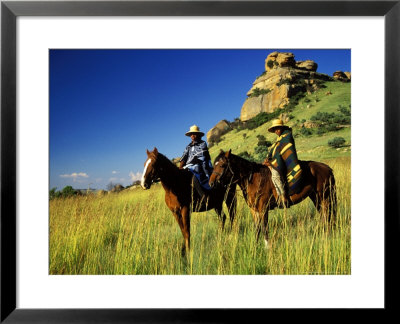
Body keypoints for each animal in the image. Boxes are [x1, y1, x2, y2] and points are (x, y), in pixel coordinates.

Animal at [209, 151, 338, 247]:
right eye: (214, 165)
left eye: (222, 165)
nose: (211, 183)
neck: (253, 179)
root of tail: (327, 168)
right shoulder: (254, 210)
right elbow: (257, 228)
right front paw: (255, 245)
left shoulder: (263, 209)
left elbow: (264, 227)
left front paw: (267, 246)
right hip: (316, 197)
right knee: (324, 214)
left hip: (324, 197)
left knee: (327, 214)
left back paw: (327, 234)